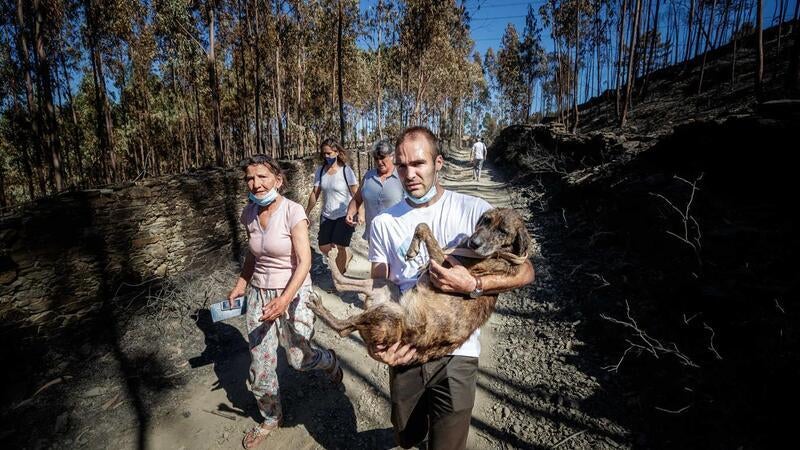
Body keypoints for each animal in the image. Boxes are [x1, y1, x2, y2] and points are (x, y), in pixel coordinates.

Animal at [308, 207, 532, 366]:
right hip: (384, 286)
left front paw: (413, 249)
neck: (501, 254)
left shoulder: (444, 266)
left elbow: (423, 226)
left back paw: (319, 305)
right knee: (342, 285)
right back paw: (332, 260)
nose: (473, 242)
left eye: (503, 231)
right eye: (485, 220)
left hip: (389, 315)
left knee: (342, 326)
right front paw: (413, 249)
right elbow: (423, 227)